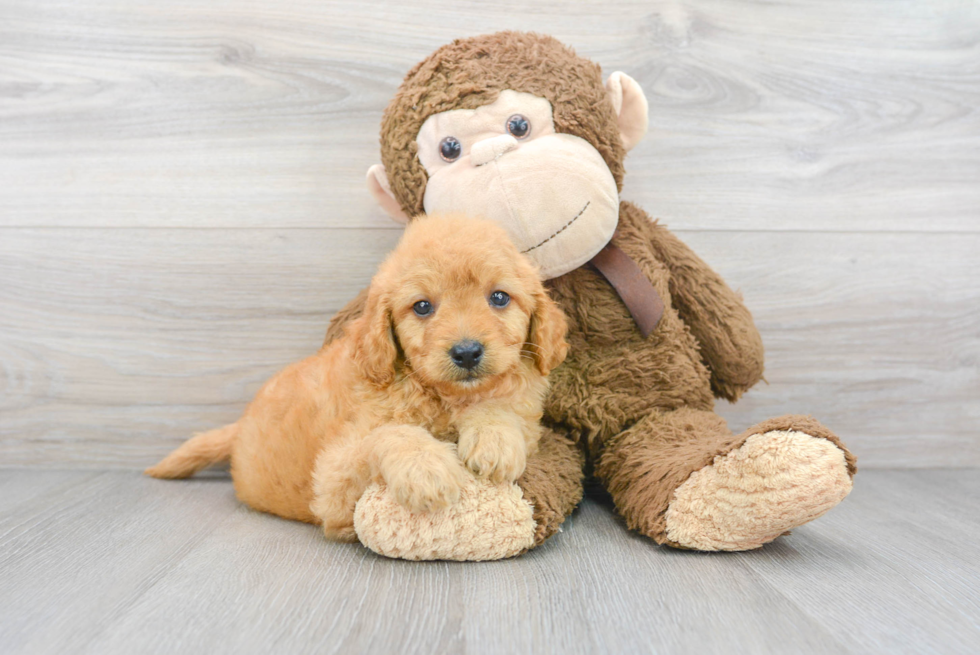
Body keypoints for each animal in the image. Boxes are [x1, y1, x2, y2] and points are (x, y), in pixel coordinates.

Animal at [145, 213, 568, 540]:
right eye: (422, 307)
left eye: (499, 298)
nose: (466, 352)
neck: (441, 397)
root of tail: (239, 427)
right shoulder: (334, 488)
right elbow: (388, 434)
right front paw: (426, 467)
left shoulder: (525, 414)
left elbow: (499, 406)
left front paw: (493, 439)